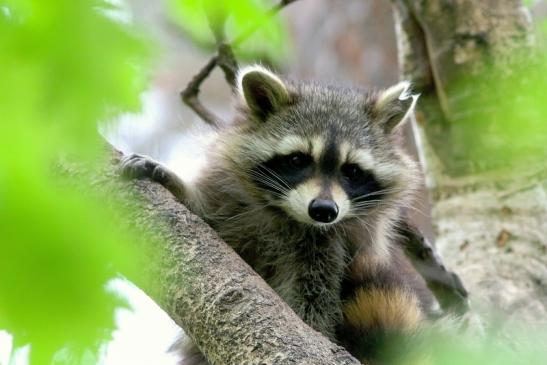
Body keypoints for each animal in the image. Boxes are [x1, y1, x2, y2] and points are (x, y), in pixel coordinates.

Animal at [121, 66, 436, 364]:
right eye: (297, 159)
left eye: (352, 171)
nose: (324, 210)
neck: (290, 217)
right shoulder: (232, 205)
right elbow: (205, 216)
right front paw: (176, 185)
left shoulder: (330, 252)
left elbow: (315, 308)